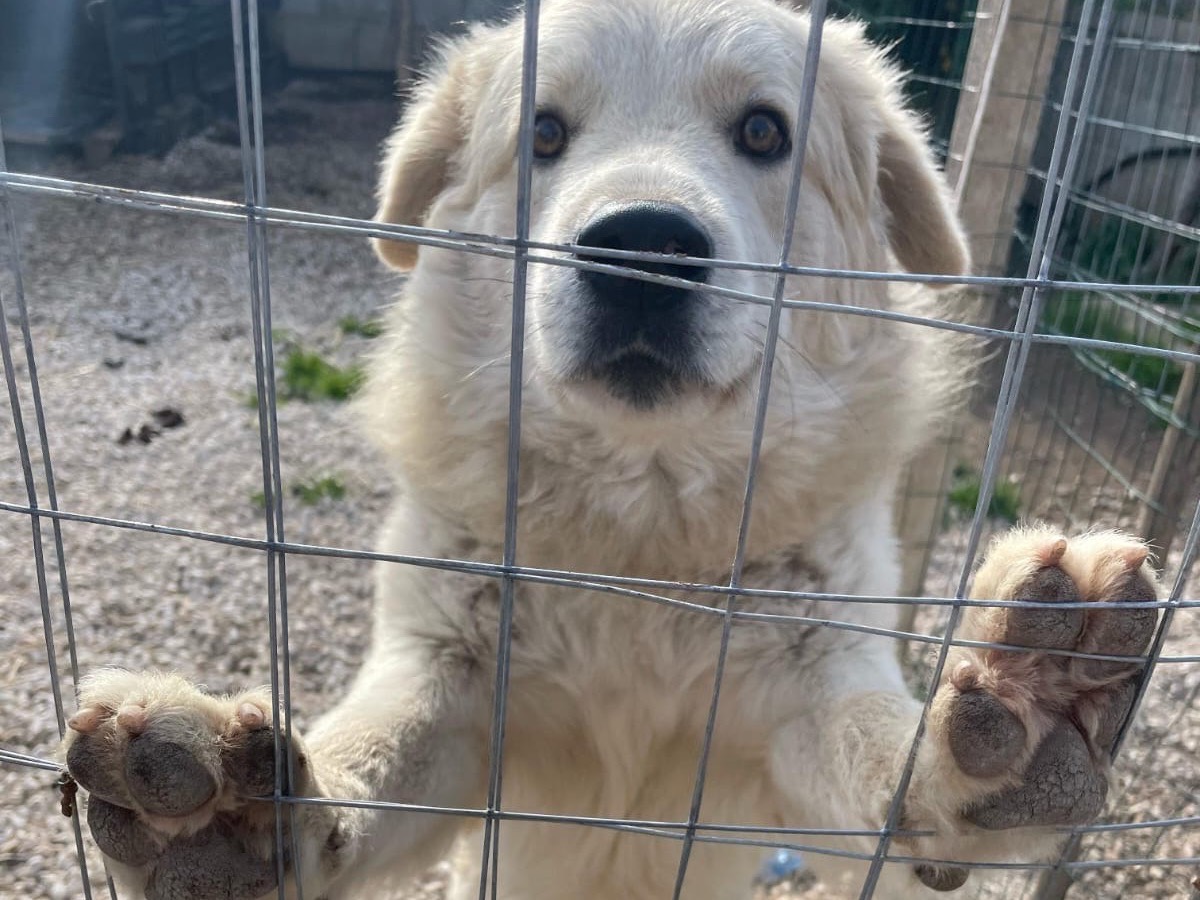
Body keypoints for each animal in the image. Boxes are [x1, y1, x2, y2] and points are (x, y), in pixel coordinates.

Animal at [60, 1, 1156, 900]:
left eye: (764, 130)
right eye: (544, 133)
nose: (641, 250)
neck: (643, 530)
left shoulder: (806, 711)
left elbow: (886, 764)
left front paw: (1023, 700)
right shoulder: (447, 700)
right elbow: (364, 758)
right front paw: (228, 822)